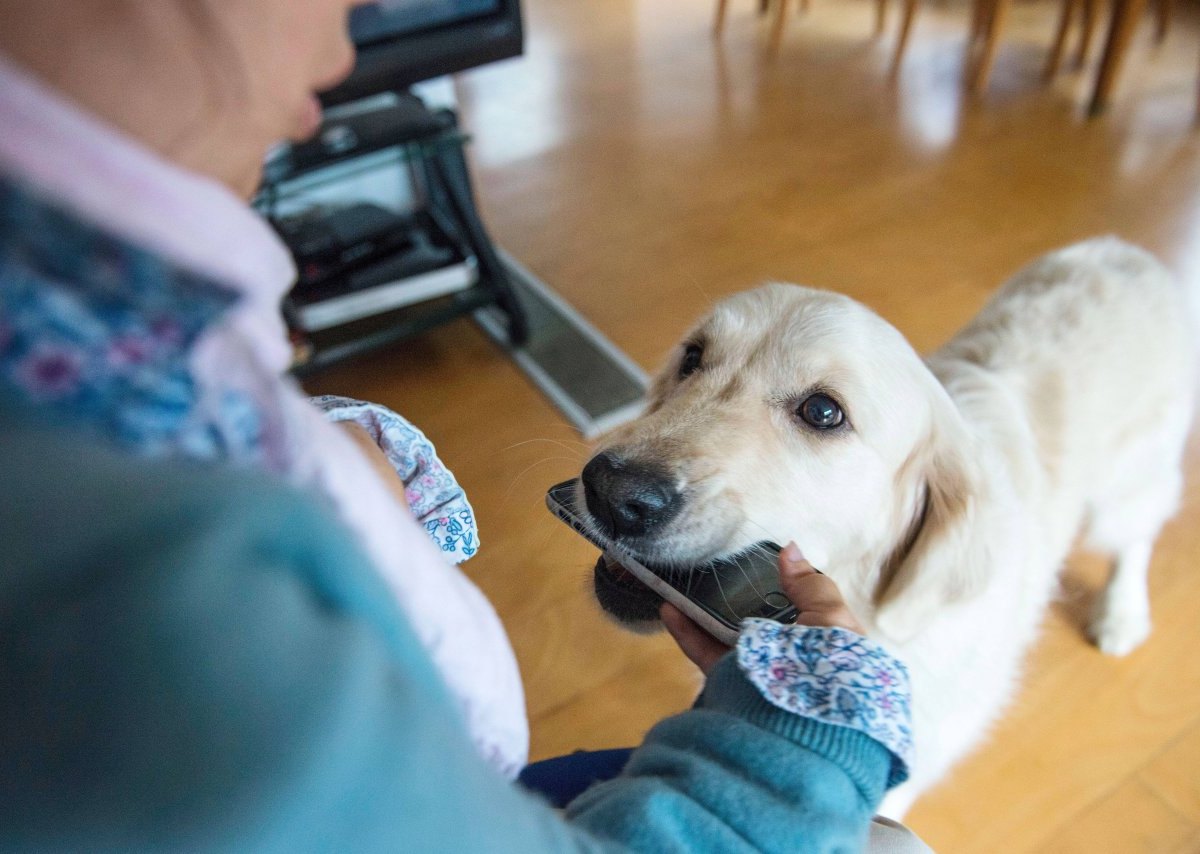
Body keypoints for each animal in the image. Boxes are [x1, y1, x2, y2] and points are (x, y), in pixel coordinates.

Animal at [576, 238, 1195, 815]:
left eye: (823, 412)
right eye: (692, 356)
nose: (612, 492)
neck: (875, 612)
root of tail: (1123, 252)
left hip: (1124, 491)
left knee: (1138, 536)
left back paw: (1121, 614)